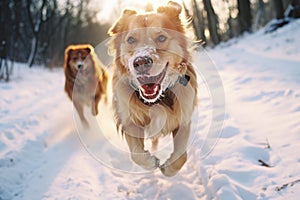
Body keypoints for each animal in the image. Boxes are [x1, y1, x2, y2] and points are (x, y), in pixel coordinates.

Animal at [108, 1, 197, 177]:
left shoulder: (183, 119)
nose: (141, 62)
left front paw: (168, 168)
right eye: (131, 39)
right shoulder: (128, 119)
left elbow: (181, 156)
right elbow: (136, 154)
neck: (157, 99)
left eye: (161, 37)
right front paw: (151, 162)